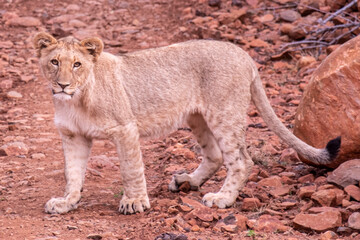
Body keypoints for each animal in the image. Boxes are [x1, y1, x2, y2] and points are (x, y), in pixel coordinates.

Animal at [33, 31, 340, 214]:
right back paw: (188, 181)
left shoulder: (125, 128)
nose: (62, 85)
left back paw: (222, 198)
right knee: (215, 155)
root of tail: (243, 54)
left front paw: (134, 202)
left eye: (77, 64)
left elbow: (130, 169)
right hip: (198, 117)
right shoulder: (73, 135)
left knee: (241, 160)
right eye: (54, 62)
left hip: (224, 113)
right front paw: (66, 202)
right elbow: (72, 173)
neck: (75, 100)